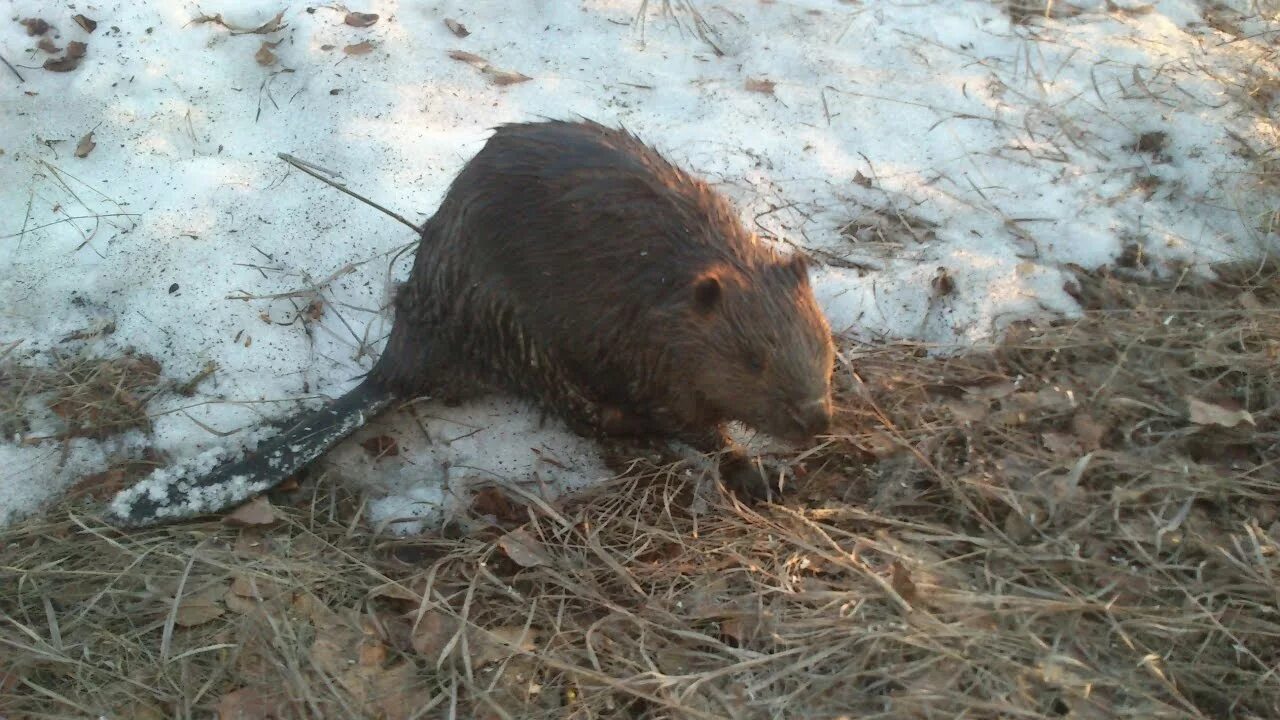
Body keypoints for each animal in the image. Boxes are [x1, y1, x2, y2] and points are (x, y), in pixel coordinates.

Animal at [104, 119, 834, 527]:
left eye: (821, 346)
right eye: (752, 359)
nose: (818, 418)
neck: (669, 290)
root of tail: (398, 366)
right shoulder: (643, 350)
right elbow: (693, 424)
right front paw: (756, 472)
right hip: (520, 332)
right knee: (595, 419)